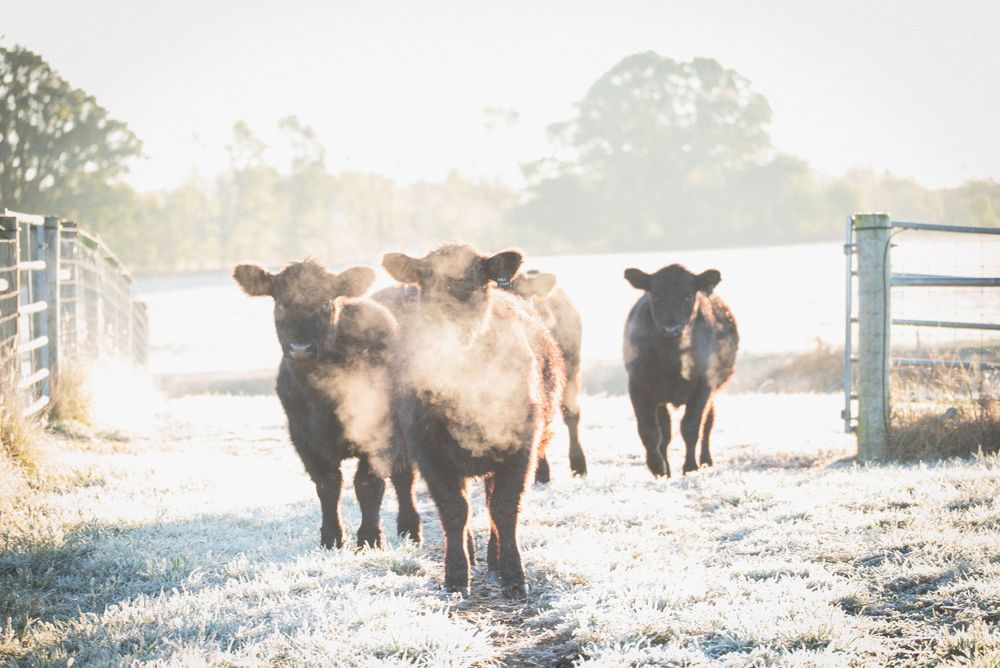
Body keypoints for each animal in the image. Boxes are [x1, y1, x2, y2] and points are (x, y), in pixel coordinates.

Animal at [232, 259, 420, 549]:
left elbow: (368, 485)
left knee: (404, 478)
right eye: (280, 302)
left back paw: (410, 529)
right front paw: (331, 537)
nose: (300, 349)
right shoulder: (304, 438)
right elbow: (328, 485)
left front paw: (369, 538)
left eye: (324, 303)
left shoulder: (380, 433)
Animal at [382, 243, 564, 599]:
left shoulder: (521, 445)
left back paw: (493, 561)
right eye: (427, 286)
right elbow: (454, 510)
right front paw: (455, 576)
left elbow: (504, 508)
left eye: (479, 285)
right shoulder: (429, 449)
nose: (452, 332)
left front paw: (513, 575)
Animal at [623, 264, 738, 478]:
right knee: (665, 432)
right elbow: (650, 432)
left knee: (707, 423)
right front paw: (658, 467)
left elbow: (691, 427)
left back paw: (706, 460)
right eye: (656, 295)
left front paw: (690, 467)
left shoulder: (703, 387)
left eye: (687, 295)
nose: (671, 329)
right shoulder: (639, 387)